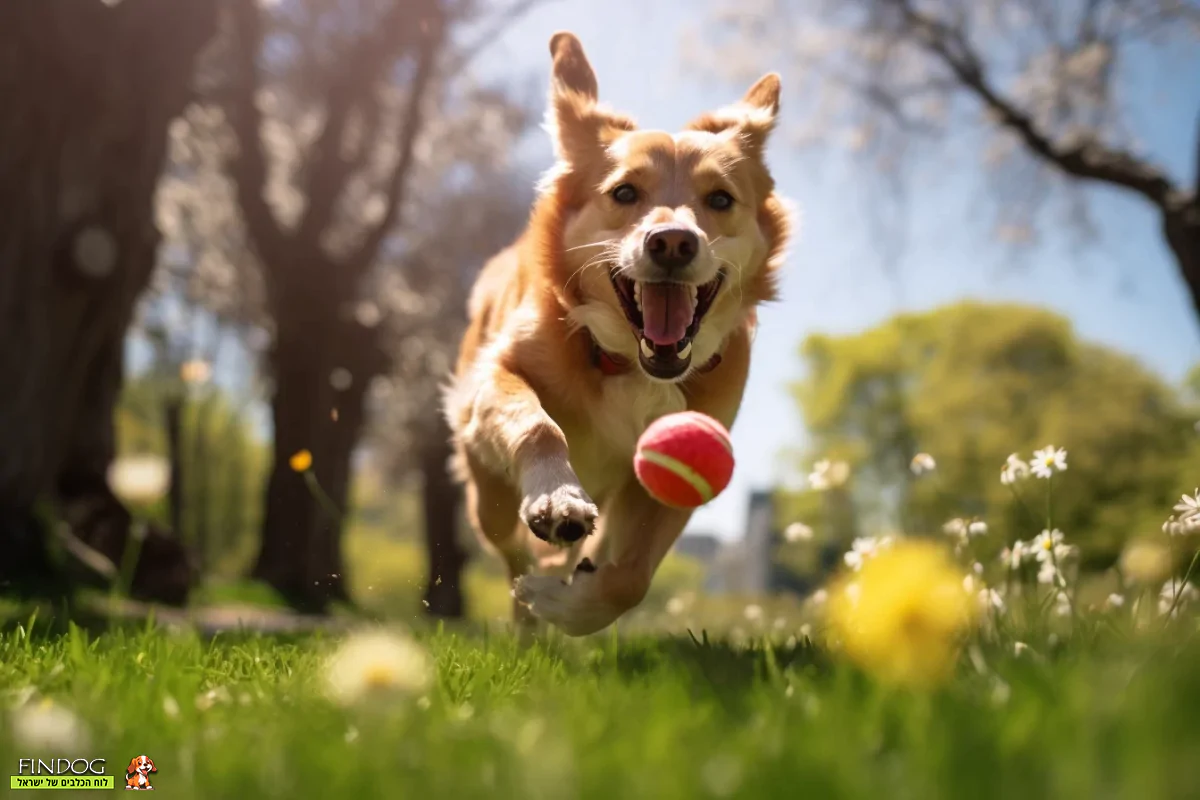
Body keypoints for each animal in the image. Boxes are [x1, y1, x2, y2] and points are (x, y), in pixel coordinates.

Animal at [441, 31, 787, 638]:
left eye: (720, 199)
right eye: (625, 193)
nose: (672, 241)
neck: (630, 361)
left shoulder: (674, 479)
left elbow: (630, 578)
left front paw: (570, 607)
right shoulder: (496, 380)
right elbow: (538, 424)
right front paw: (558, 499)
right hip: (489, 498)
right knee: (511, 549)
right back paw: (528, 617)